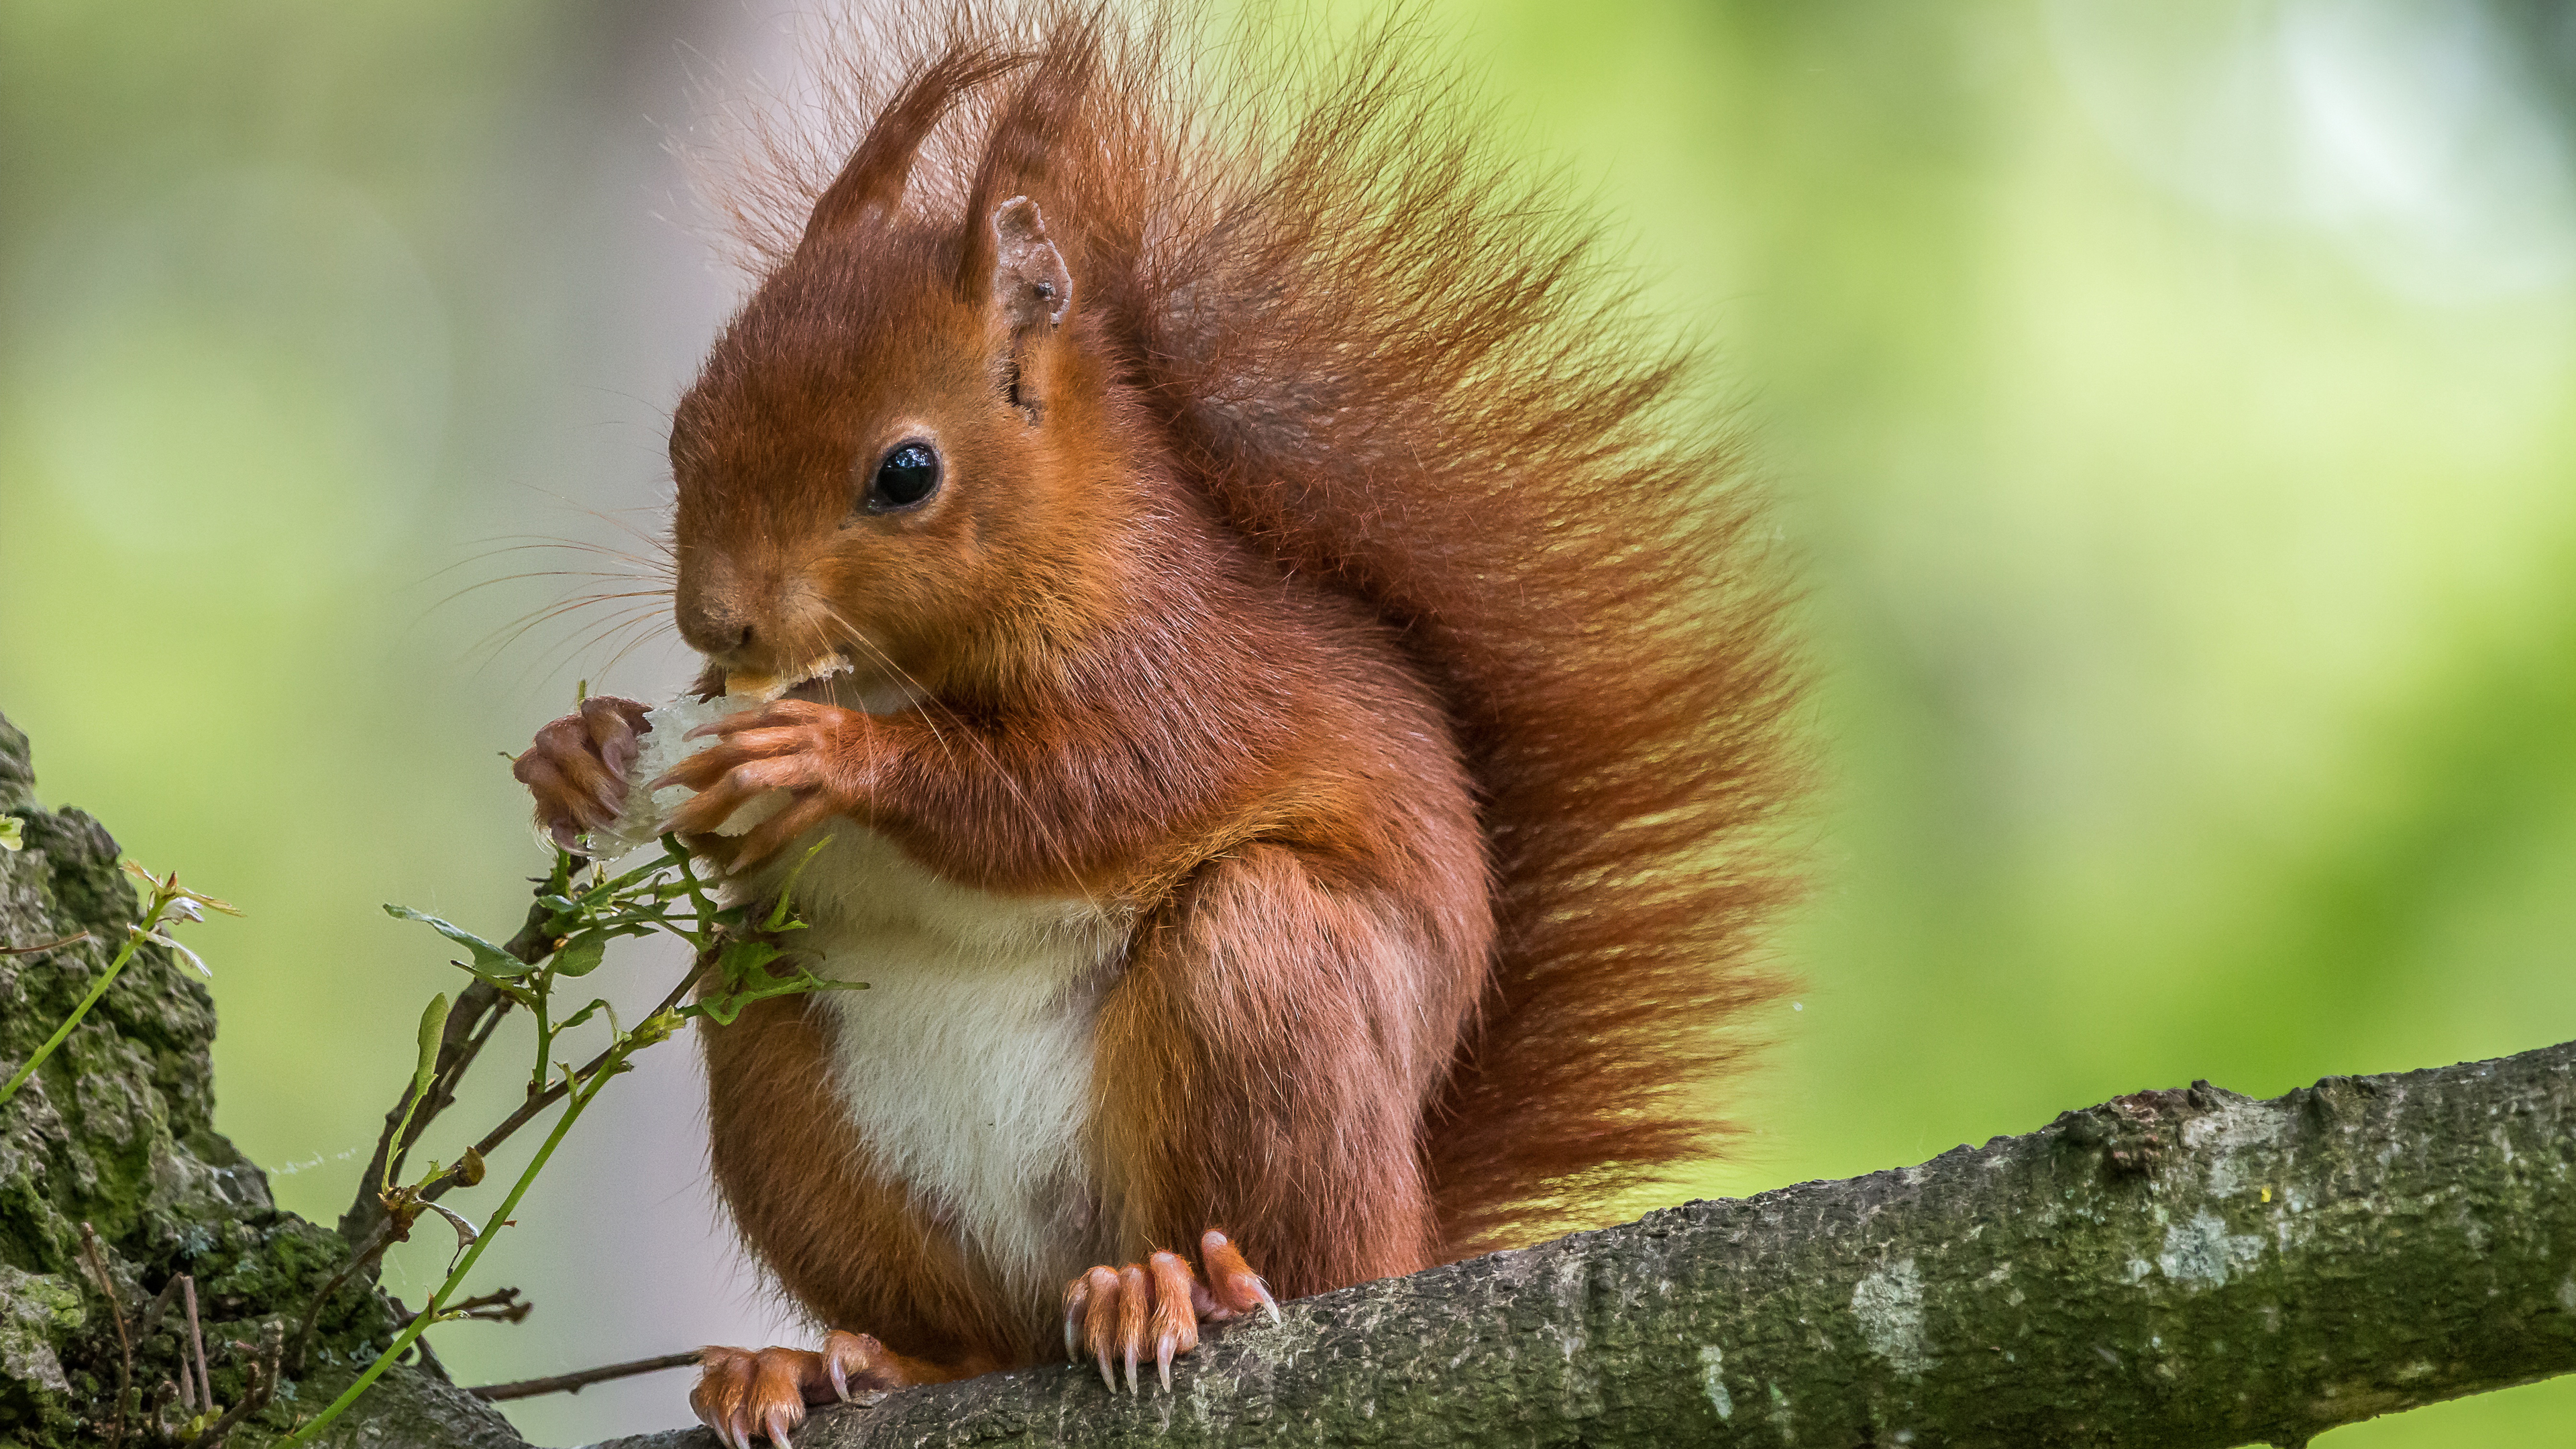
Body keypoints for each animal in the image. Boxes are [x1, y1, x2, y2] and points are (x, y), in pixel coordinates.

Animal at [502, 8, 1792, 1433]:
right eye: (687, 426)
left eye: (906, 473)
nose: (720, 625)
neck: (907, 665)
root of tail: (1412, 1237)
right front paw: (585, 757)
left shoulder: (1191, 671)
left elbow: (1084, 794)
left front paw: (831, 755)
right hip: (784, 1059)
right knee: (967, 1326)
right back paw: (839, 1362)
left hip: (1268, 986)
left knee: (1284, 1226)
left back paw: (1183, 1291)